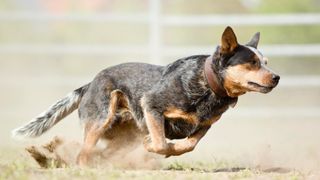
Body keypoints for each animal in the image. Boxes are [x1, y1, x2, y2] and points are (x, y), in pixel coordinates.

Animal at [12, 26, 278, 166]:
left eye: (265, 62)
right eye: (252, 63)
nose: (276, 77)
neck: (207, 87)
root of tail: (89, 84)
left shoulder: (204, 125)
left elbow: (188, 145)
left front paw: (169, 148)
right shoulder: (151, 105)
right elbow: (160, 142)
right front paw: (154, 144)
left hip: (124, 138)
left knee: (103, 153)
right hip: (100, 120)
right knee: (83, 153)